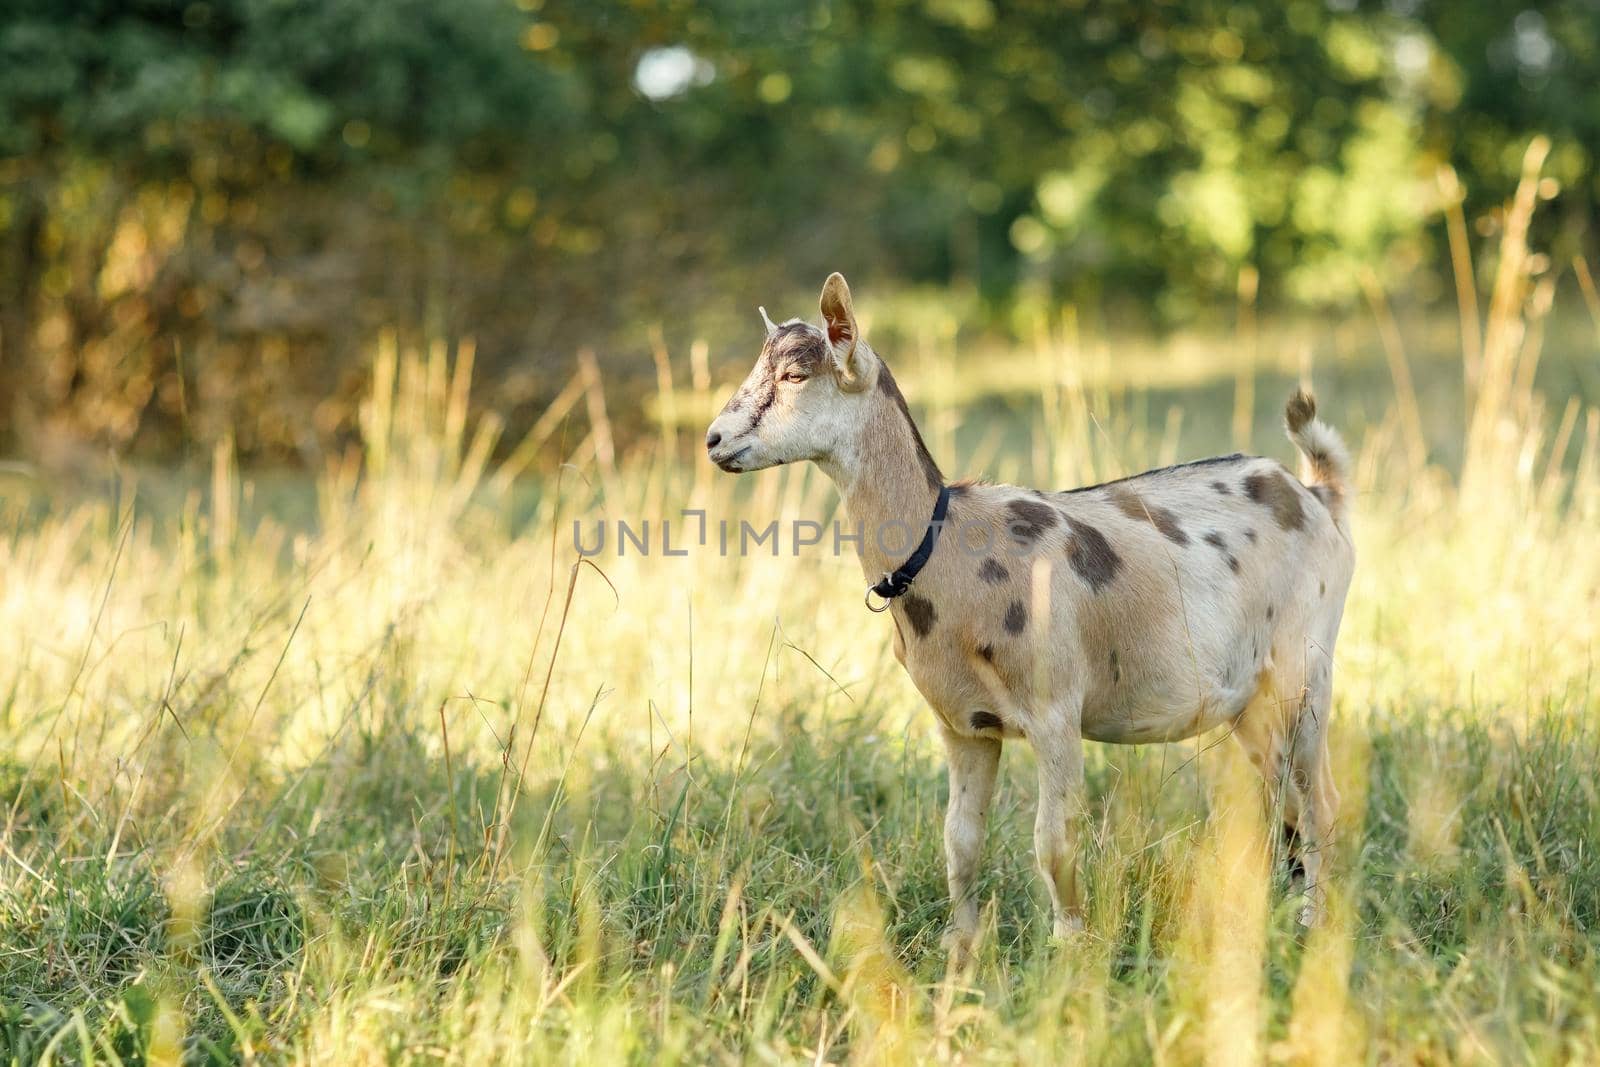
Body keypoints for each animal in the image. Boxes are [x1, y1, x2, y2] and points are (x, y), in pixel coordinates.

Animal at [707, 273, 1356, 959]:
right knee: (1286, 800)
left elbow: (1053, 842)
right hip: (1249, 700)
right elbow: (960, 841)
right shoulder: (963, 726)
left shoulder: (1055, 712)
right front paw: (960, 951)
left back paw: (1314, 928)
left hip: (1305, 668)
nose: (713, 440)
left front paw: (1070, 952)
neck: (946, 547)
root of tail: (1318, 494)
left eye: (797, 375)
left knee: (1321, 800)